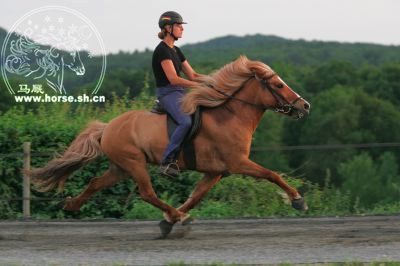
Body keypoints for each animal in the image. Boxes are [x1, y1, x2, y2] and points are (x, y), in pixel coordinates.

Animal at [30, 55, 310, 237]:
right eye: (278, 85)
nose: (304, 105)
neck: (229, 116)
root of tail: (107, 127)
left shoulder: (215, 172)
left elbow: (195, 196)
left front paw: (168, 222)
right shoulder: (238, 163)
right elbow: (271, 174)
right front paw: (297, 200)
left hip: (120, 167)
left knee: (96, 182)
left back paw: (71, 205)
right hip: (134, 162)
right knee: (146, 193)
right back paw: (177, 216)